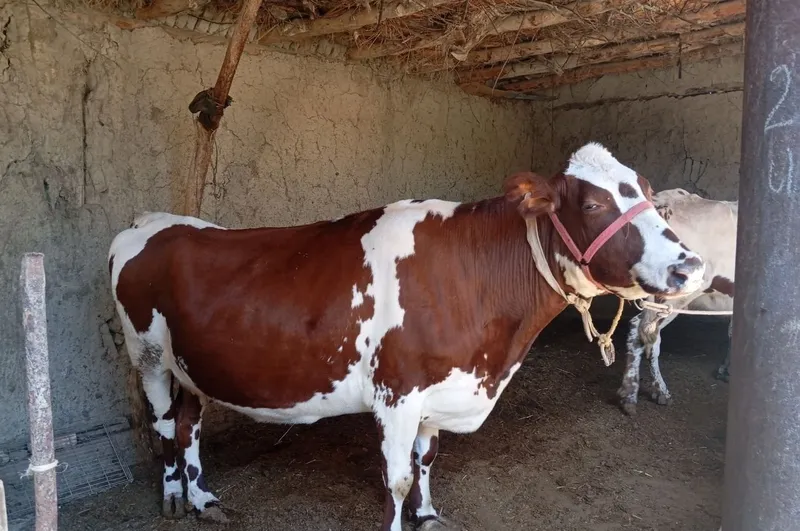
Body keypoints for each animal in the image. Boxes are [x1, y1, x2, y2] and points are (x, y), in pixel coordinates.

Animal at [109, 143, 706, 531]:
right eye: (593, 204)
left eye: (647, 193)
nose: (690, 266)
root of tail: (151, 221)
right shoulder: (396, 393)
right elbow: (395, 479)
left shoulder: (441, 386)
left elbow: (427, 460)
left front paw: (428, 514)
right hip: (150, 357)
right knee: (165, 425)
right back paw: (172, 497)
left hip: (195, 365)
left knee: (189, 424)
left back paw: (203, 499)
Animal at [617, 188, 737, 416]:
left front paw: (726, 370)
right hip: (678, 296)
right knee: (647, 331)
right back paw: (655, 391)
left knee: (641, 330)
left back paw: (630, 393)